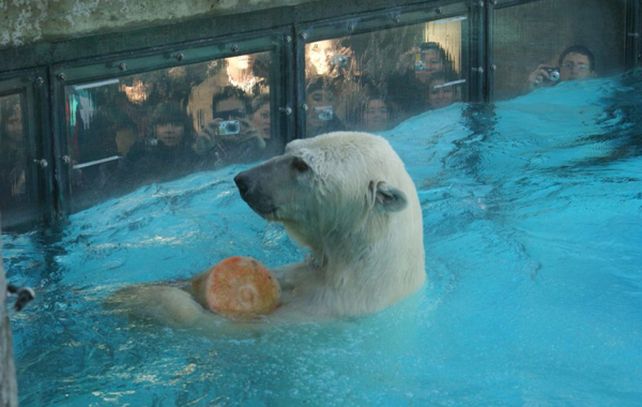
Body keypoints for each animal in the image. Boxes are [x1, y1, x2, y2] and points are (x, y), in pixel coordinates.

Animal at [108, 131, 425, 327]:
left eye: (301, 165)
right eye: (289, 147)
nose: (243, 180)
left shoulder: (323, 311)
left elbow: (222, 326)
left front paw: (143, 299)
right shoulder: (302, 275)